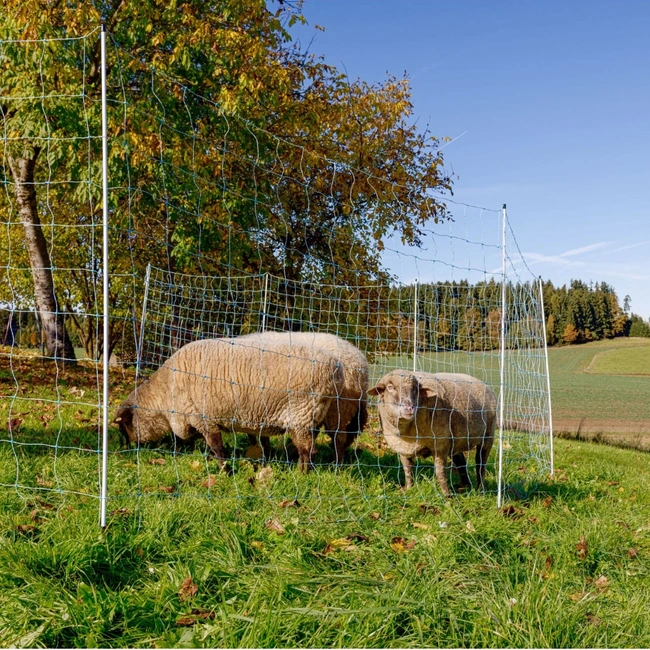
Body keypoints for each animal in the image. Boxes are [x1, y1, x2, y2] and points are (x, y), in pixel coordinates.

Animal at [114, 337, 345, 472]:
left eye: (123, 426)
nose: (125, 449)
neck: (164, 394)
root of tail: (337, 368)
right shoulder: (192, 418)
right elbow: (194, 441)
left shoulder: (202, 417)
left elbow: (216, 446)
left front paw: (224, 470)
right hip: (313, 415)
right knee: (307, 448)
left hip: (301, 414)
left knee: (308, 451)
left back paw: (301, 474)